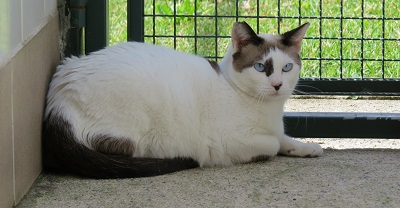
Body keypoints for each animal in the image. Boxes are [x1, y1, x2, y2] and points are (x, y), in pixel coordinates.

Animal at [43, 21, 324, 179]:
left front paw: (307, 148)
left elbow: (283, 138)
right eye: (260, 67)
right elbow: (273, 145)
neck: (268, 110)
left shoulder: (274, 128)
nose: (277, 85)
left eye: (287, 68)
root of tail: (57, 99)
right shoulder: (230, 141)